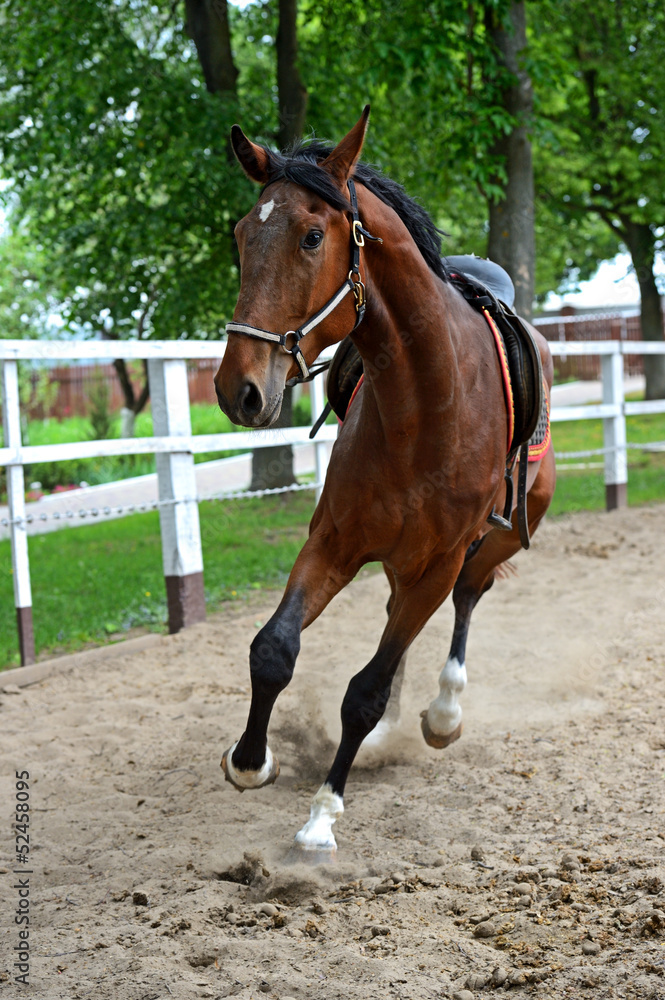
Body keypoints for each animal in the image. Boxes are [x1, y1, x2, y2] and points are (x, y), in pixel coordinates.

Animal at [214, 107, 556, 855]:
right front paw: (250, 760)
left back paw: (442, 713)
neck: (423, 407)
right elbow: (274, 648)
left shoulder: (438, 561)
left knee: (467, 600)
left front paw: (320, 818)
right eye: (242, 234)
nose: (237, 389)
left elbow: (363, 691)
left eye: (313, 236)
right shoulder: (335, 541)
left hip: (495, 541)